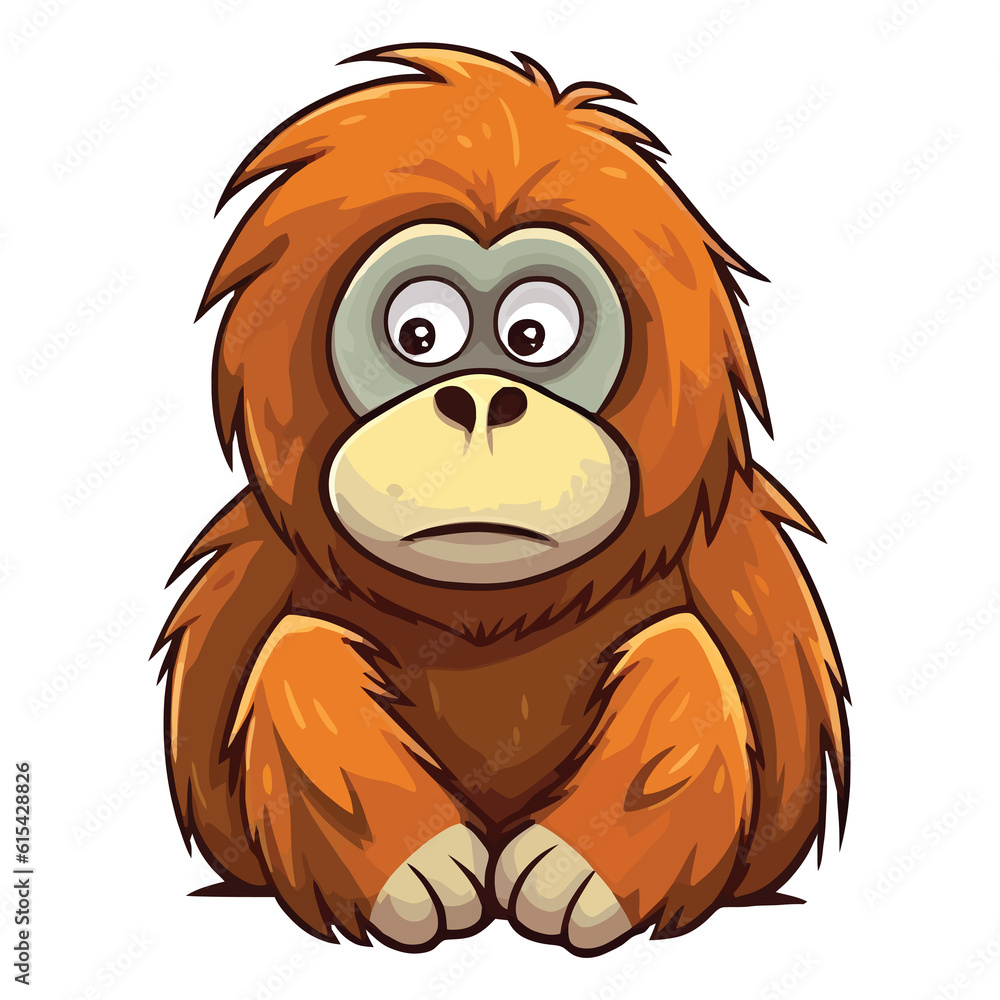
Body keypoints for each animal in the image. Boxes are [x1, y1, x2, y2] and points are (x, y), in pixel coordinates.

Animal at [155, 44, 849, 955]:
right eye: (420, 335)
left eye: (532, 335)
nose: (481, 400)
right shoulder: (259, 554)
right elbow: (281, 668)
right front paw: (414, 871)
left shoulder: (737, 555)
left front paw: (578, 876)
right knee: (299, 646)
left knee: (682, 648)